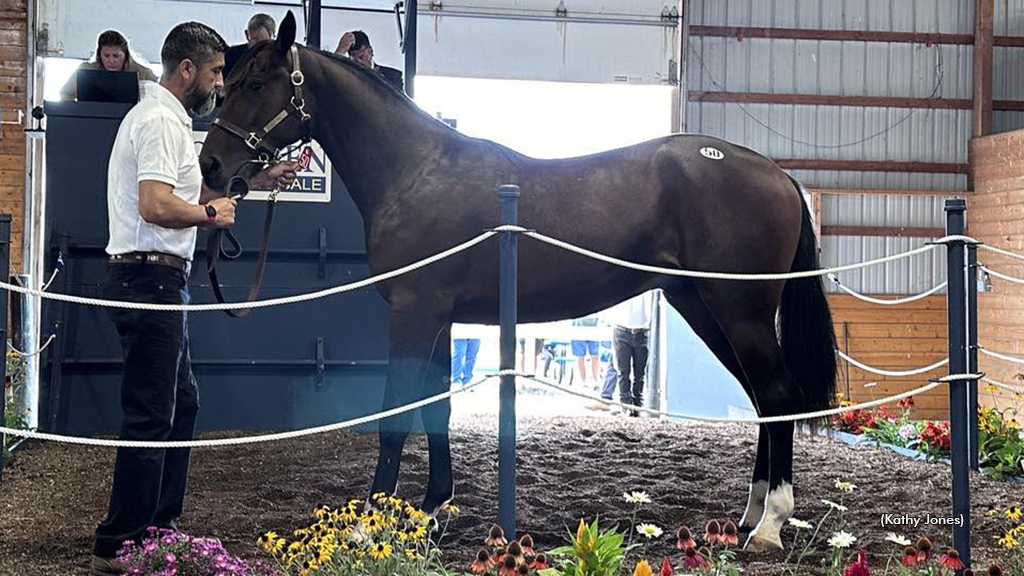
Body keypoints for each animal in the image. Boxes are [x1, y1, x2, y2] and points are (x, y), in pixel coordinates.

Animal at [195, 10, 835, 545]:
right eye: (229, 83)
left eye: (257, 84)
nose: (212, 165)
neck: (417, 170)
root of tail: (779, 174)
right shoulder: (440, 318)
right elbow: (436, 411)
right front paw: (432, 508)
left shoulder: (414, 311)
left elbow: (396, 418)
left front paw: (367, 521)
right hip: (704, 307)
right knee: (765, 400)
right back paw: (749, 515)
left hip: (740, 310)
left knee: (777, 394)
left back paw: (769, 526)